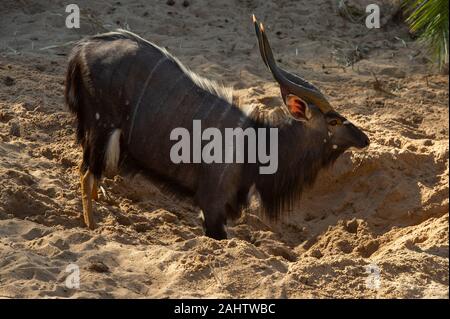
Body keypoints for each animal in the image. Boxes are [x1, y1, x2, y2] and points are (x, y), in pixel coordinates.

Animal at [66, 15, 370, 240]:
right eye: (333, 121)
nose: (364, 138)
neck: (258, 146)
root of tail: (81, 49)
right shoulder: (212, 207)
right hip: (101, 126)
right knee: (86, 174)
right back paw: (93, 229)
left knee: (91, 172)